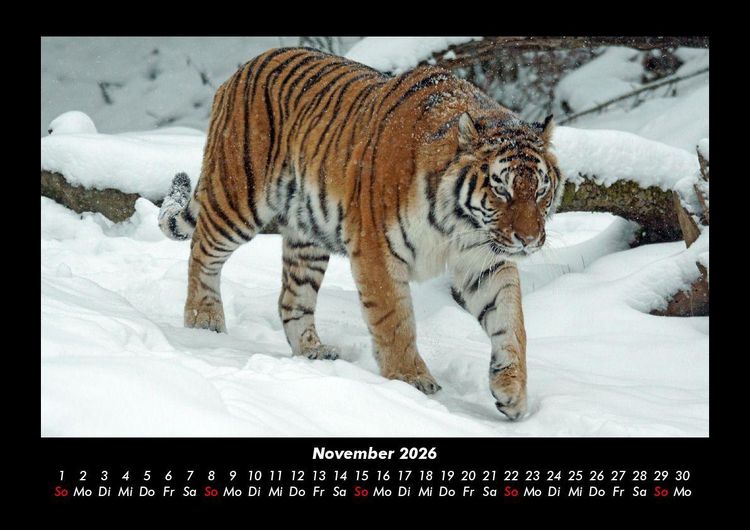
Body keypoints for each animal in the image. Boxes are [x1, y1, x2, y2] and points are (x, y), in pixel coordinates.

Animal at [158, 47, 564, 420]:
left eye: (541, 190)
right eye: (501, 190)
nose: (529, 240)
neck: (459, 224)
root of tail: (243, 67)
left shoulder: (485, 259)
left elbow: (510, 321)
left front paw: (512, 391)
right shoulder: (376, 249)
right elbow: (395, 320)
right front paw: (411, 380)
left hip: (307, 235)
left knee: (292, 298)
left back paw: (313, 352)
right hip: (239, 196)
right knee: (202, 251)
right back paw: (203, 321)